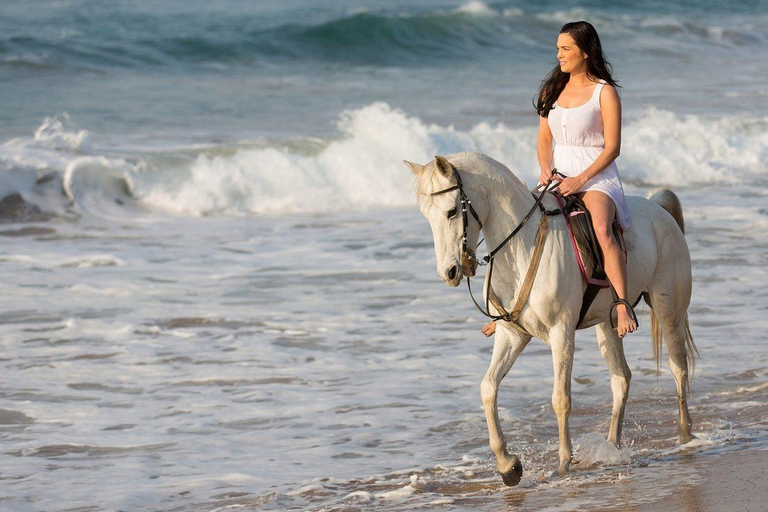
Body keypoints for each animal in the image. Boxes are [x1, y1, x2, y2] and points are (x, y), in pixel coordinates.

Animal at [408, 151, 696, 484]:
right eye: (426, 215)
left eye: (452, 211)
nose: (450, 272)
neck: (522, 246)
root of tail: (658, 207)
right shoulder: (512, 335)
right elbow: (488, 388)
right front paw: (508, 465)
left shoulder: (562, 333)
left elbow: (560, 399)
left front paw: (562, 464)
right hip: (607, 325)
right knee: (621, 378)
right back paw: (612, 446)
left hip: (668, 309)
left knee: (678, 367)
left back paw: (685, 436)